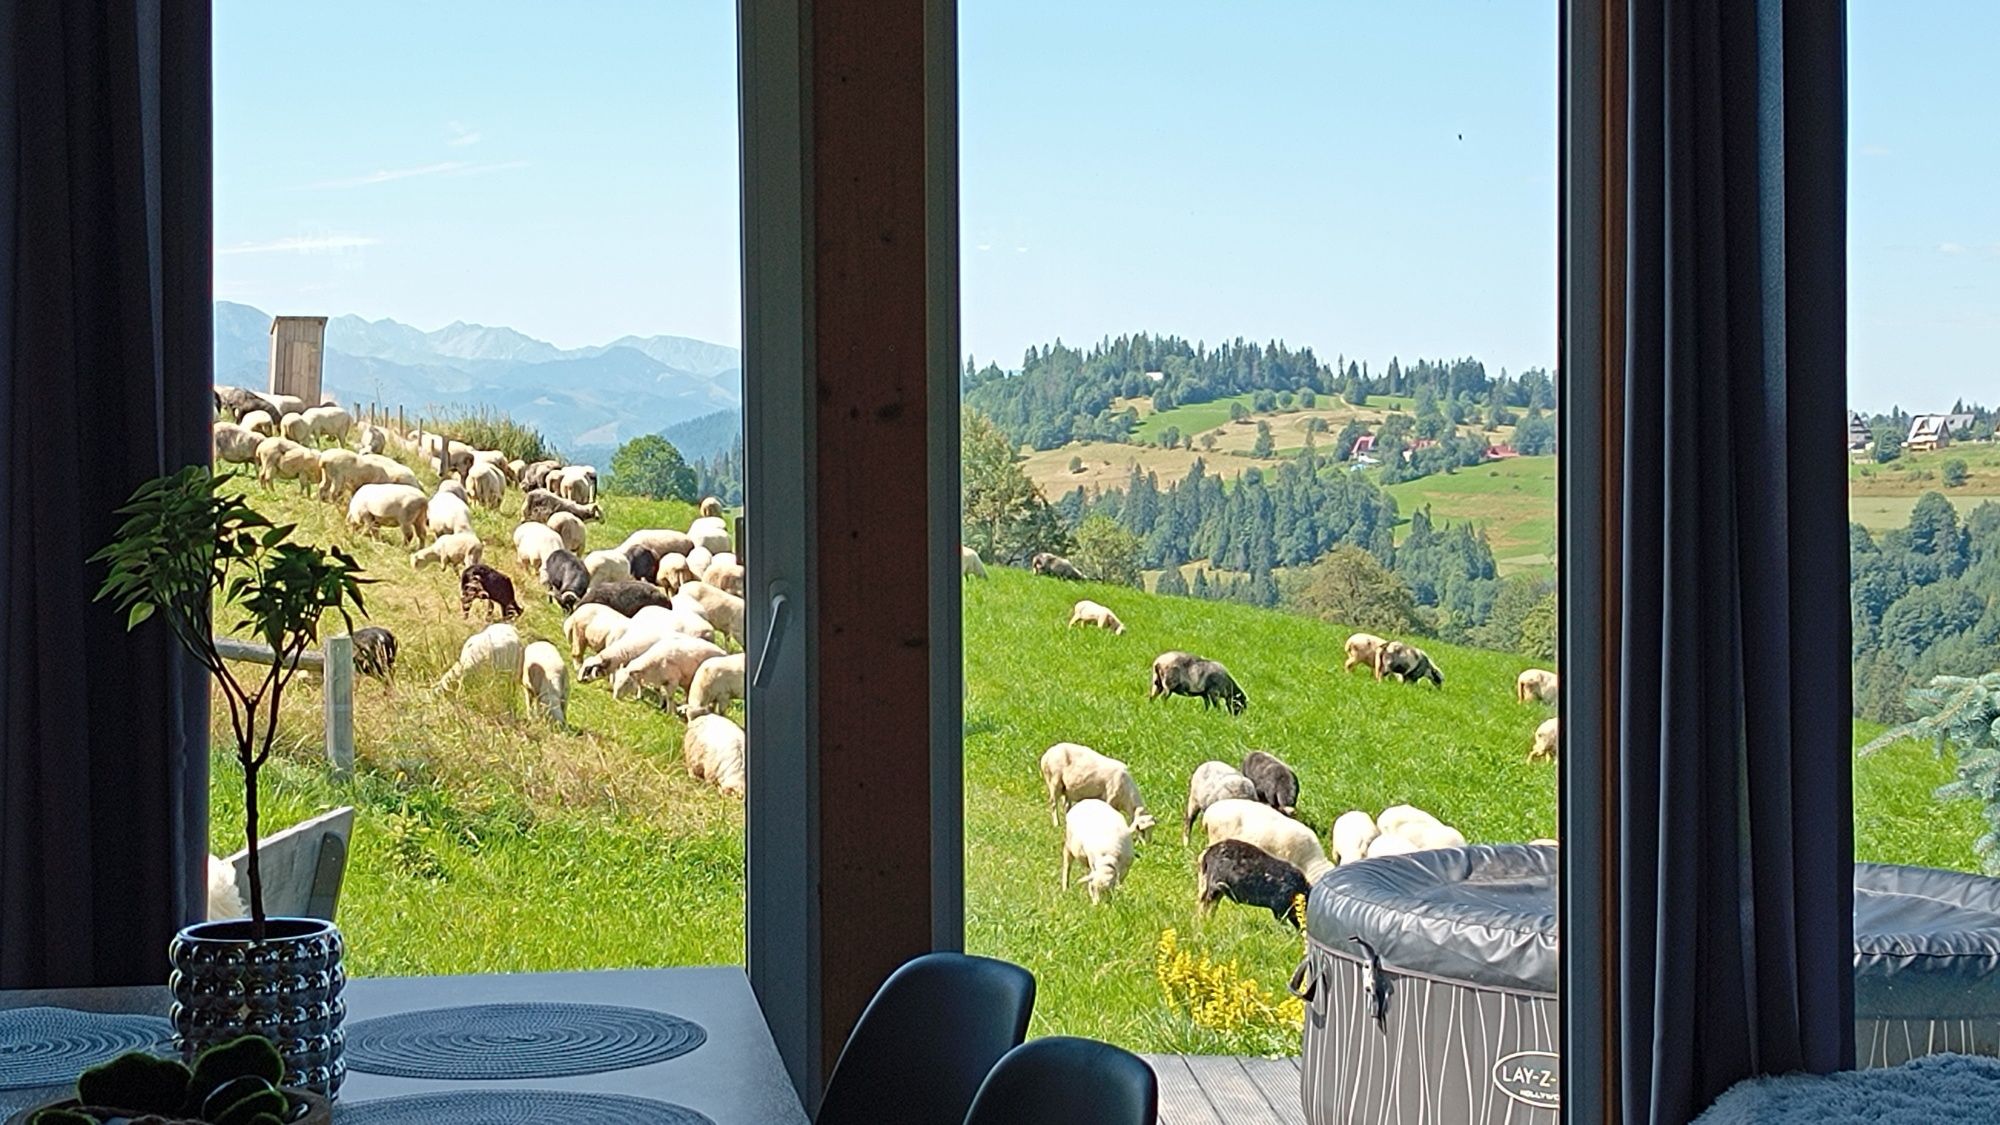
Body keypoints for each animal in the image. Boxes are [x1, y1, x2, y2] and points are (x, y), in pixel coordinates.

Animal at [1040, 740, 1168, 836]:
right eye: (1141, 830)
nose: (1147, 845)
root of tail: (1047, 754)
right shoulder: (1110, 799)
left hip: (1066, 788)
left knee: (1066, 805)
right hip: (1054, 781)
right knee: (1053, 803)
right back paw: (1057, 824)